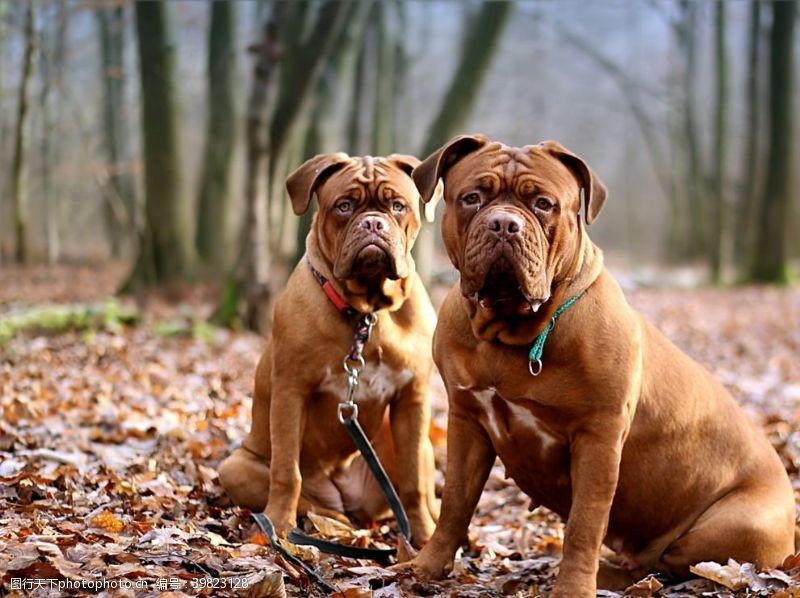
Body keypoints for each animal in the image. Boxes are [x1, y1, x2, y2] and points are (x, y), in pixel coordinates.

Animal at [219, 151, 440, 548]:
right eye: (345, 206)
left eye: (397, 206)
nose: (372, 223)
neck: (367, 313)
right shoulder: (291, 392)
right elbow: (286, 471)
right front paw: (278, 525)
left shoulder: (412, 398)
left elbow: (413, 480)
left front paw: (425, 538)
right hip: (236, 466)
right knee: (307, 498)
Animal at [396, 134, 796, 596]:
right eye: (472, 198)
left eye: (544, 204)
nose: (503, 224)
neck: (511, 331)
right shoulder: (466, 421)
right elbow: (455, 502)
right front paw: (425, 568)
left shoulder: (598, 439)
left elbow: (584, 525)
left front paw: (572, 587)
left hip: (728, 528)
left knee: (671, 564)